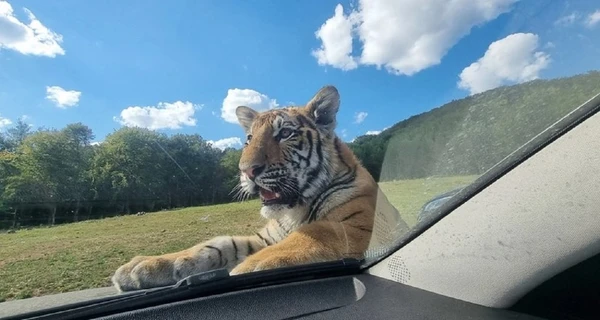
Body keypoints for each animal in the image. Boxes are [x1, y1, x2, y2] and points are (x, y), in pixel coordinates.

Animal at [111, 85, 408, 292]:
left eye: (285, 134)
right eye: (249, 139)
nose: (246, 170)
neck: (294, 210)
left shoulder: (360, 225)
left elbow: (311, 234)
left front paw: (242, 271)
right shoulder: (266, 237)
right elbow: (217, 244)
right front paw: (143, 266)